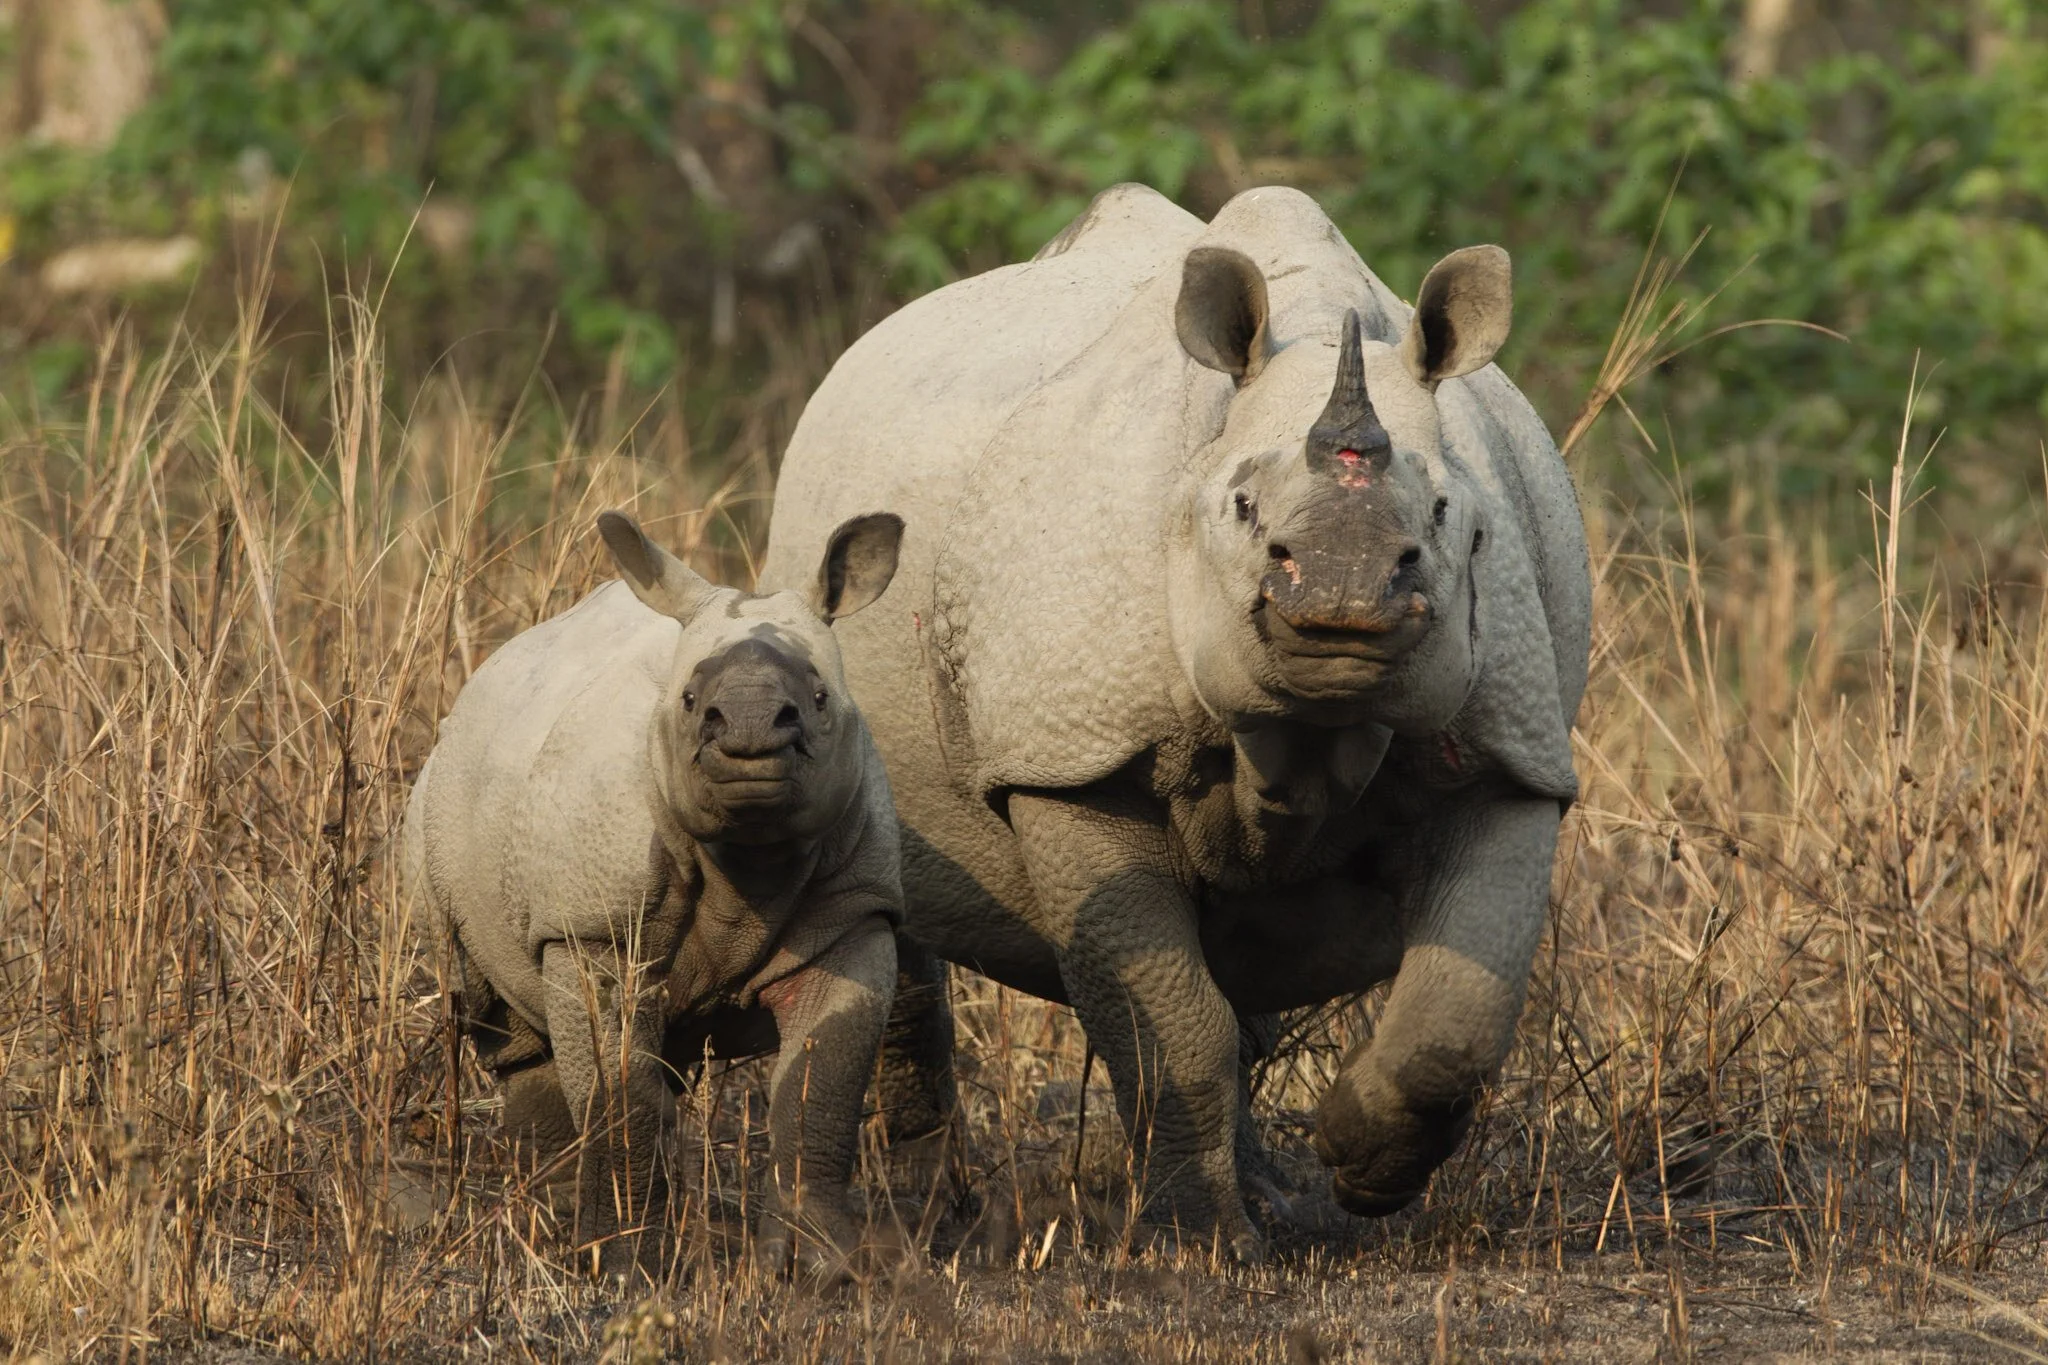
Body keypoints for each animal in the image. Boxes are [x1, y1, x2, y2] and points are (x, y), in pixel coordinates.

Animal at [404, 508, 907, 1277]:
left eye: (820, 700)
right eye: (691, 703)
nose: (750, 732)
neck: (749, 853)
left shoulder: (856, 909)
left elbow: (821, 1083)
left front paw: (817, 1268)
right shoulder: (595, 924)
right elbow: (618, 1085)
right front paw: (621, 1264)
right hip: (433, 809)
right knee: (501, 1018)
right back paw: (557, 1229)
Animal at [760, 184, 1589, 1257]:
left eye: (1450, 516)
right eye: (1240, 508)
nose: (1344, 596)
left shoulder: (1511, 751)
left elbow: (1458, 1013)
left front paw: (1354, 1165)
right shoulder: (1073, 758)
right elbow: (1167, 1015)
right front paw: (1203, 1242)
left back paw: (1273, 1195)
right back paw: (932, 1214)